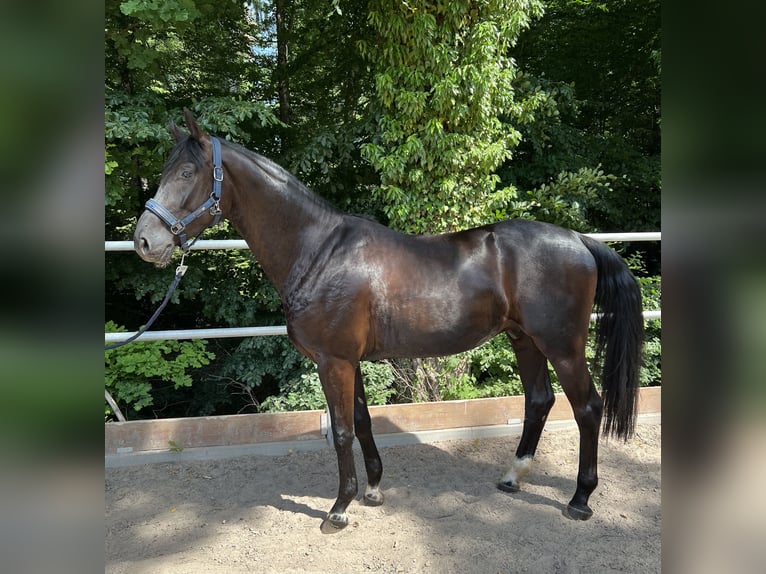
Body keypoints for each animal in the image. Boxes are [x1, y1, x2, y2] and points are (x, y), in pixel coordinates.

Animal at [133, 110, 644, 533]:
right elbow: (361, 421)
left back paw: (580, 499)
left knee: (587, 408)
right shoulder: (349, 360)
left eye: (186, 172)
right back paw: (512, 478)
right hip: (525, 340)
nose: (144, 241)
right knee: (539, 401)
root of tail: (578, 240)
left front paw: (339, 509)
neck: (318, 252)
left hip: (563, 346)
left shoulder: (333, 361)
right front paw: (373, 490)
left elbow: (341, 430)